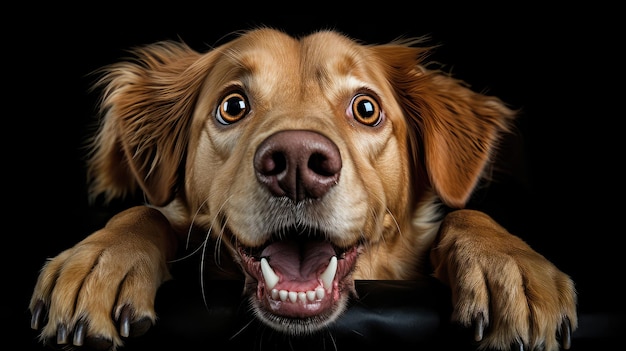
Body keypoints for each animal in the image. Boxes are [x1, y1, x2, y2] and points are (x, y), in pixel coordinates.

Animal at [29, 28, 576, 351]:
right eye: (232, 105)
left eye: (366, 108)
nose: (296, 164)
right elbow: (148, 213)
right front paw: (102, 260)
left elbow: (467, 214)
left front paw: (509, 266)